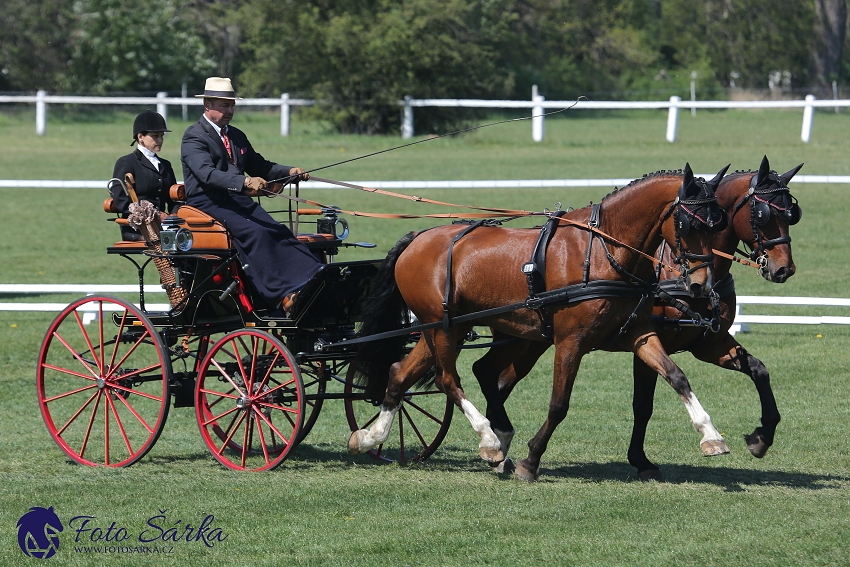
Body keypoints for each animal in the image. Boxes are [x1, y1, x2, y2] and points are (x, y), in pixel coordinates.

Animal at [346, 165, 728, 484]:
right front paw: (530, 461)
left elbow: (677, 376)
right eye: (689, 224)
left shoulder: (639, 333)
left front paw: (711, 436)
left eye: (718, 225)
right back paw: (490, 441)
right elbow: (559, 405)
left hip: (442, 329)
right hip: (443, 329)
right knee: (448, 379)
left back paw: (370, 437)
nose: (700, 285)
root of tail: (418, 237)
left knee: (401, 372)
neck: (603, 250)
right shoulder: (571, 341)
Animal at [474, 155, 800, 480]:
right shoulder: (645, 342)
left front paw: (761, 437)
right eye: (763, 214)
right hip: (523, 339)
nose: (784, 269)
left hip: (529, 341)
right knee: (492, 378)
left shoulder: (707, 343)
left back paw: (497, 446)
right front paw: (640, 458)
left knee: (493, 378)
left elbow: (758, 370)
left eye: (792, 214)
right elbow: (643, 405)